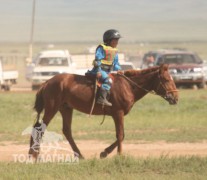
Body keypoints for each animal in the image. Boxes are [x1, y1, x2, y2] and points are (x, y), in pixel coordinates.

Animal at [28, 63, 178, 159]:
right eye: (166, 79)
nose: (175, 98)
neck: (128, 86)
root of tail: (47, 82)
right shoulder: (118, 114)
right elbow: (120, 135)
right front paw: (118, 155)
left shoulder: (118, 115)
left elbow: (121, 135)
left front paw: (105, 152)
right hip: (52, 108)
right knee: (40, 128)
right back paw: (35, 154)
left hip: (66, 109)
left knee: (66, 131)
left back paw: (79, 155)